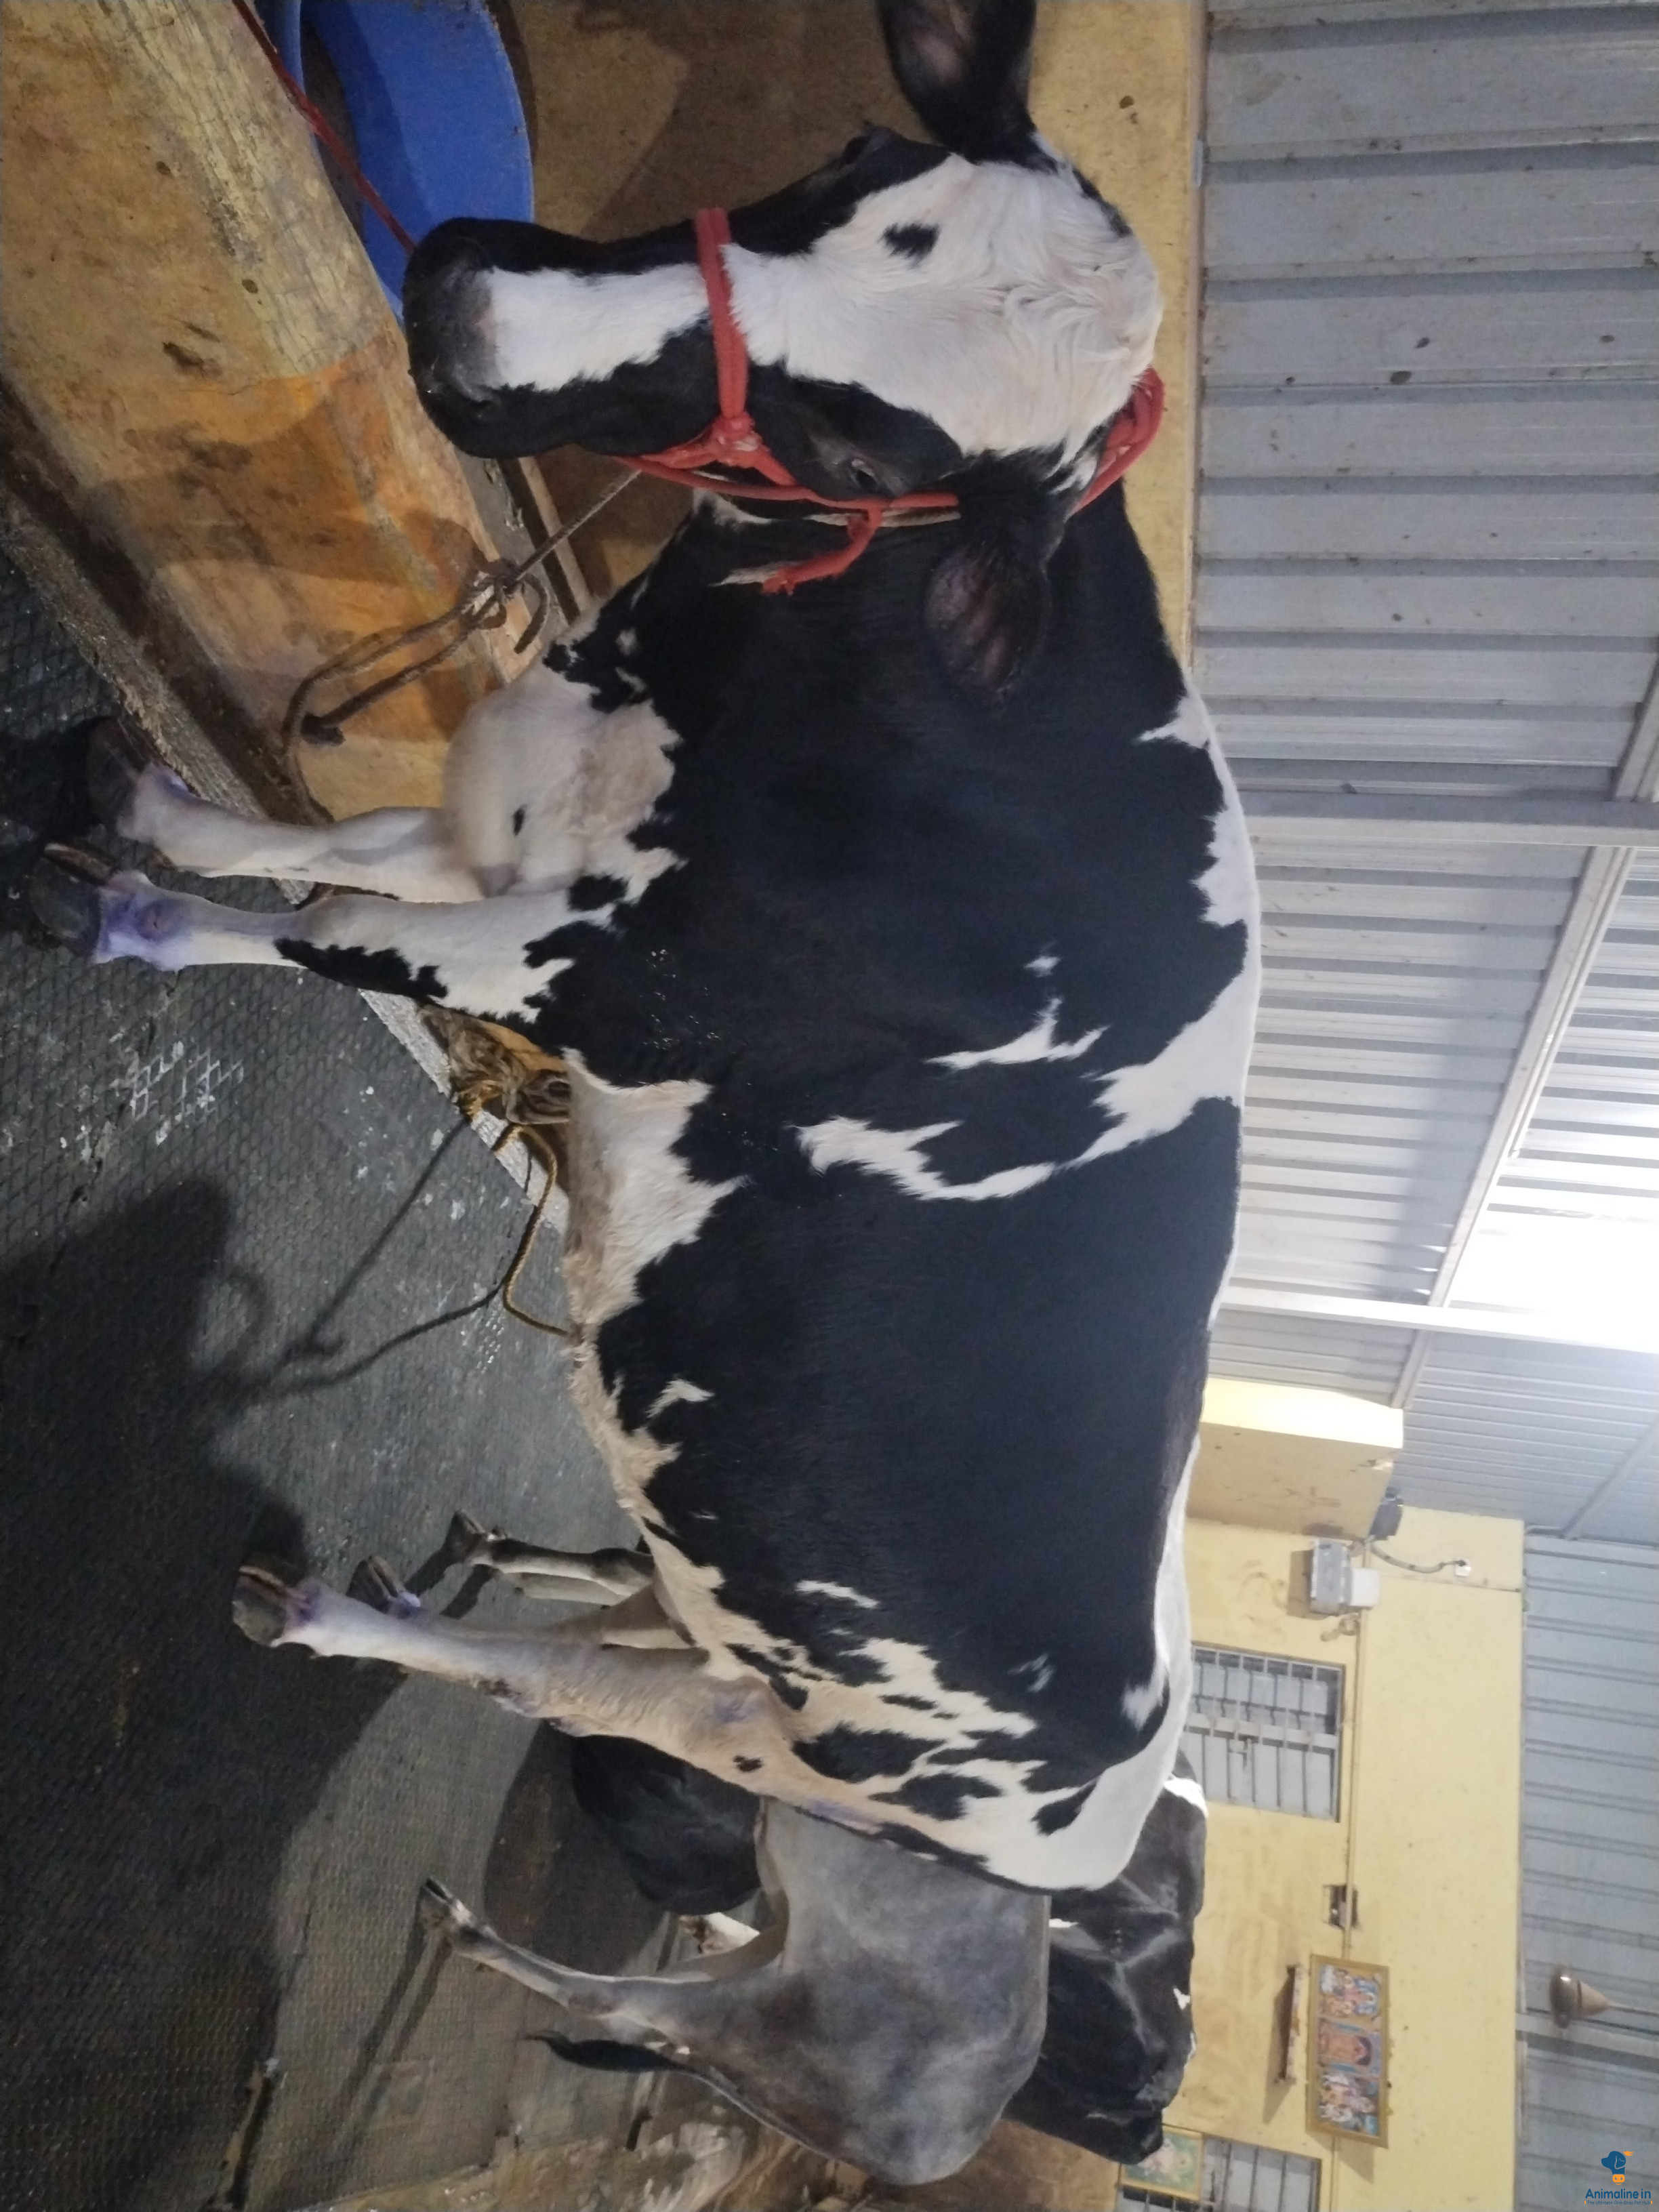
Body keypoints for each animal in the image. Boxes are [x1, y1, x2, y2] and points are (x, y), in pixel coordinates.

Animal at [29, 0, 1256, 2177]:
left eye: (869, 460)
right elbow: (321, 852)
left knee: (552, 1697)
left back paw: (324, 1620)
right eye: (847, 160)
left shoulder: (593, 968)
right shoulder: (510, 826)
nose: (466, 292)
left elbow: (324, 930)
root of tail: (1115, 1805)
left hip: (759, 1735)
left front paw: (128, 922)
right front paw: (156, 812)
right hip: (702, 1615)